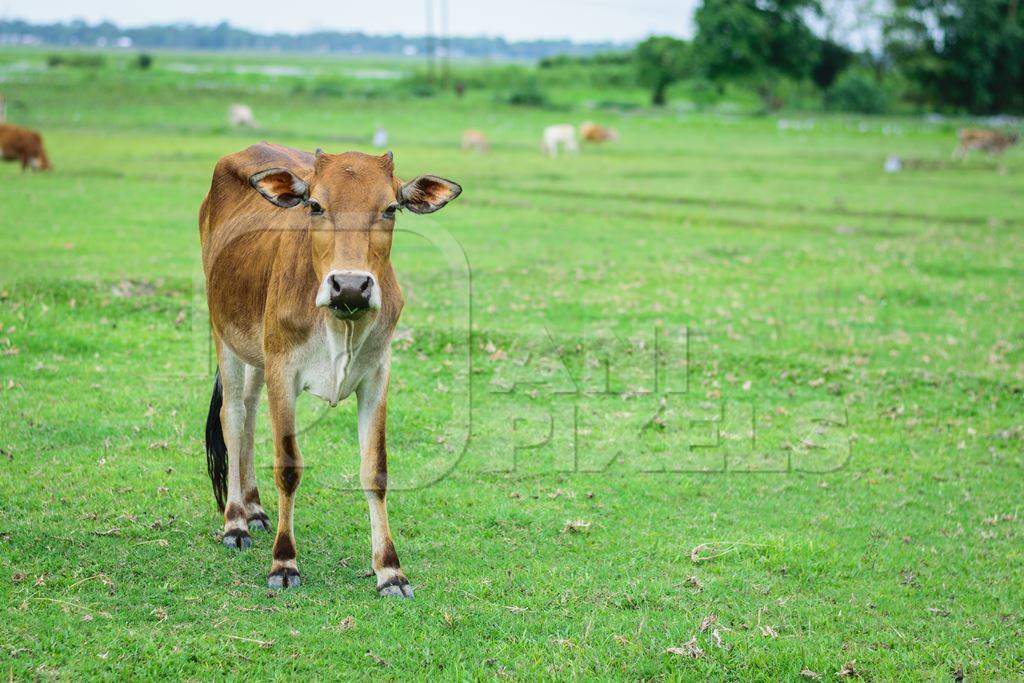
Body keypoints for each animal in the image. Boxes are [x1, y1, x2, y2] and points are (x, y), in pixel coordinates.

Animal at [198, 144, 460, 598]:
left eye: (390, 208)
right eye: (316, 205)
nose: (351, 286)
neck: (342, 325)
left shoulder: (376, 375)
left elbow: (376, 470)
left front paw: (390, 571)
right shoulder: (283, 371)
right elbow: (288, 466)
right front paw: (284, 563)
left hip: (255, 356)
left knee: (248, 416)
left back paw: (254, 509)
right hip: (224, 333)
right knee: (232, 418)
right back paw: (235, 522)